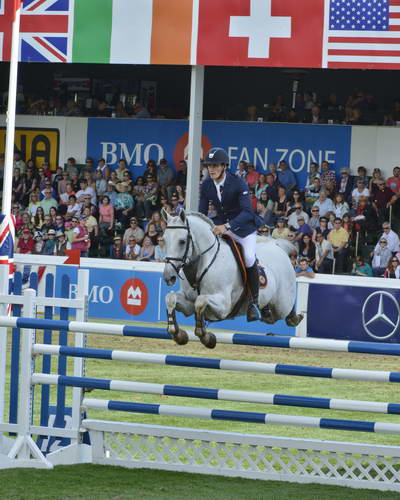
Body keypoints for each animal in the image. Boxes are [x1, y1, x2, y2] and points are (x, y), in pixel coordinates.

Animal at [161, 210, 302, 348]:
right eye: (164, 240)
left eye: (182, 241)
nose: (169, 277)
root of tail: (278, 247)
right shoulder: (188, 304)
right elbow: (170, 298)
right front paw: (178, 334)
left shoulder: (224, 305)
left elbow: (200, 301)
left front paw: (206, 337)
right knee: (269, 315)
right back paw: (265, 311)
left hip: (282, 305)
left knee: (287, 309)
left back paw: (294, 317)